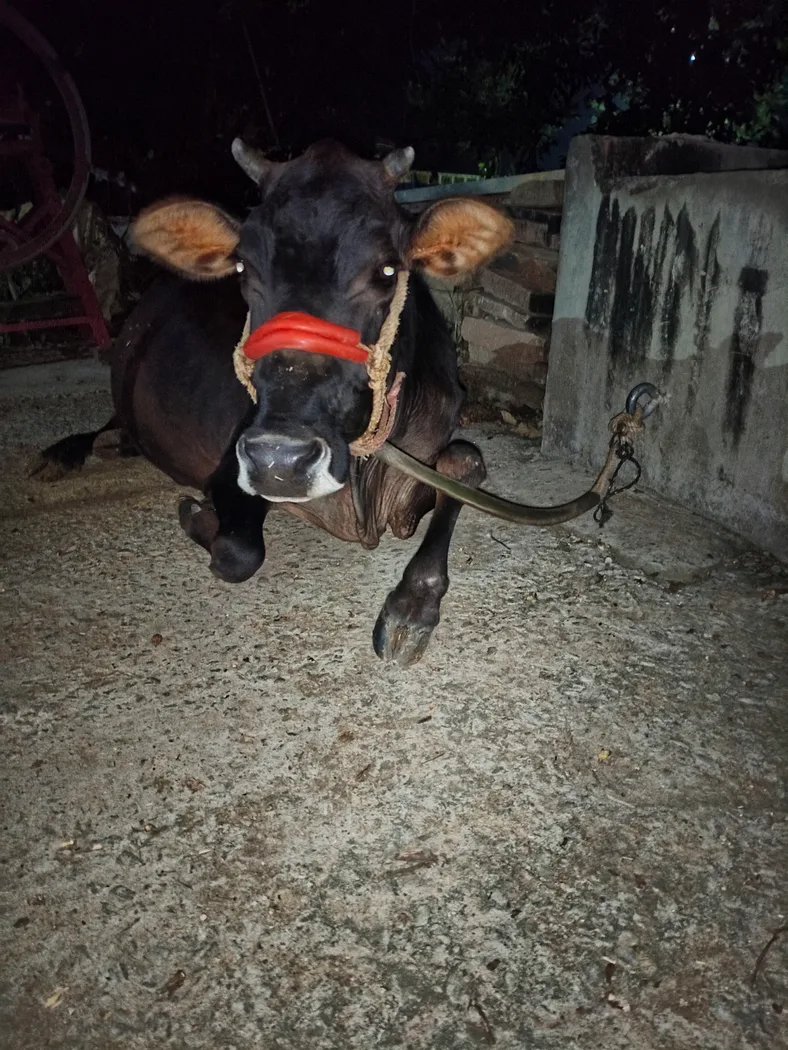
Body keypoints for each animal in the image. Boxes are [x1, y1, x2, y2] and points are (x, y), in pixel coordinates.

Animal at [33, 138, 562, 664]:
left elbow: (465, 463)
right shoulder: (231, 464)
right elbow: (237, 553)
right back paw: (66, 452)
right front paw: (195, 514)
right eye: (243, 267)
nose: (280, 461)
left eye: (387, 269)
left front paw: (412, 606)